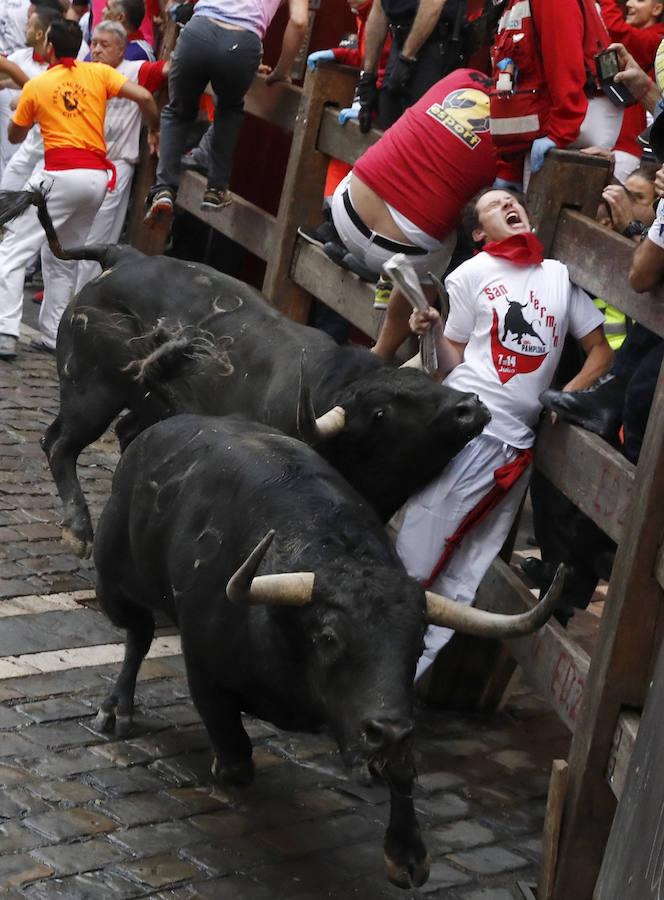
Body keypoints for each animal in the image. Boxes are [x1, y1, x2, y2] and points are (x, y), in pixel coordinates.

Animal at [0, 190, 488, 556]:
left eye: (424, 383)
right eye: (383, 411)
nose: (470, 406)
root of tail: (122, 254)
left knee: (103, 434)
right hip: (91, 392)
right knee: (60, 444)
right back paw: (79, 530)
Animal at [92, 414, 560, 884]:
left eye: (419, 644)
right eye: (329, 638)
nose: (387, 735)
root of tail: (153, 434)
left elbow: (404, 770)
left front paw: (406, 851)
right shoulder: (204, 668)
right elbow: (236, 760)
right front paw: (223, 769)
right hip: (113, 582)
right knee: (139, 633)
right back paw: (117, 708)